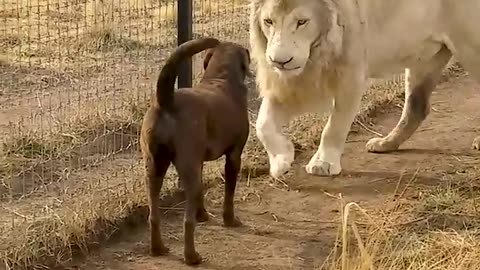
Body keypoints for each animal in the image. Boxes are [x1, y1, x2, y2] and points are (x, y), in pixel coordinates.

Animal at [140, 38, 249, 266]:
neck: (220, 77)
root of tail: (167, 101)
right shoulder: (234, 156)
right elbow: (229, 193)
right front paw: (230, 219)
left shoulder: (199, 162)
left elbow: (201, 194)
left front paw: (203, 215)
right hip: (185, 169)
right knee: (187, 222)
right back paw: (191, 257)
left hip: (153, 167)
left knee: (153, 215)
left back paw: (158, 248)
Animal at [249, 0, 480, 178]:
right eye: (268, 21)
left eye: (302, 22)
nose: (279, 61)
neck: (318, 52)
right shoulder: (290, 84)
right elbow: (262, 124)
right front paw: (281, 161)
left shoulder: (351, 75)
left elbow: (335, 126)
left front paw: (323, 164)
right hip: (425, 59)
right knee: (416, 108)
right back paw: (386, 144)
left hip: (470, 48)